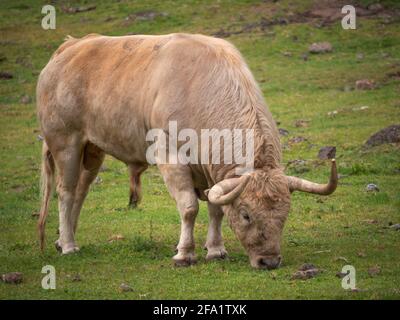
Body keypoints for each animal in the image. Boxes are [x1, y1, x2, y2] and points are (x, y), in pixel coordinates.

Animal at [38, 33, 338, 268]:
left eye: (285, 214)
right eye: (246, 215)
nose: (270, 261)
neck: (202, 90)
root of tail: (69, 47)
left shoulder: (212, 174)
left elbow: (216, 210)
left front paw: (215, 250)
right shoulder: (170, 156)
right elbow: (189, 207)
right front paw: (184, 253)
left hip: (92, 150)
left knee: (80, 191)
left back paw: (63, 239)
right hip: (65, 143)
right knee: (66, 192)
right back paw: (68, 245)